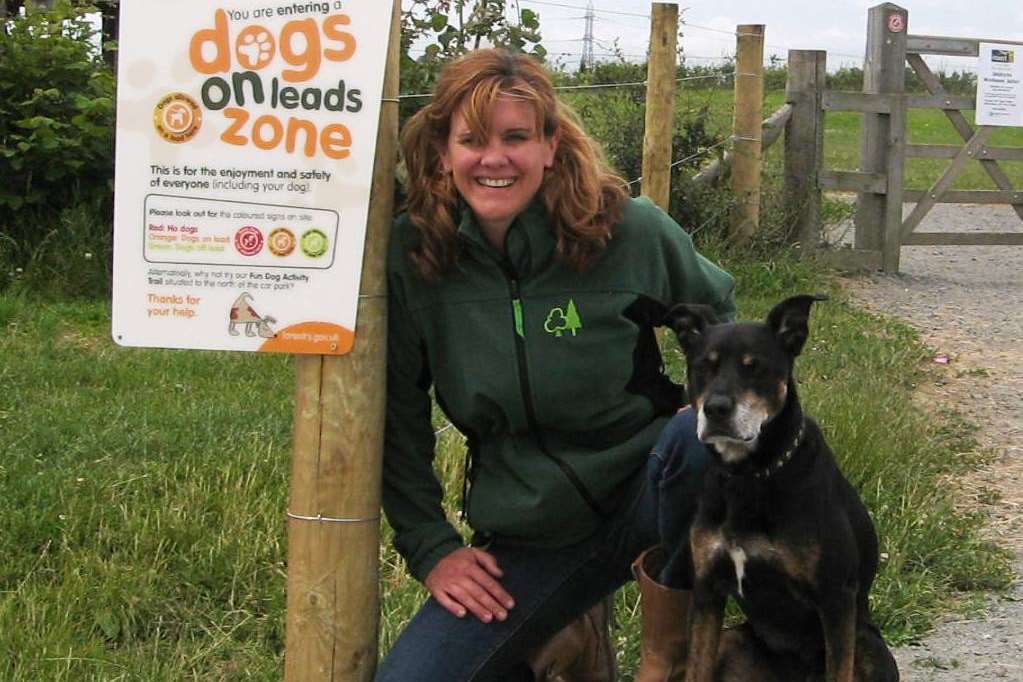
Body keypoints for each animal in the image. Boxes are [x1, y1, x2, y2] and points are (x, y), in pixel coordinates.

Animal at [662, 296, 896, 682]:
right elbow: (697, 669)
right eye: (702, 367)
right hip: (731, 640)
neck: (749, 477)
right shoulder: (707, 589)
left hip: (870, 649)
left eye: (754, 368)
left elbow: (839, 668)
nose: (716, 409)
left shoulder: (835, 596)